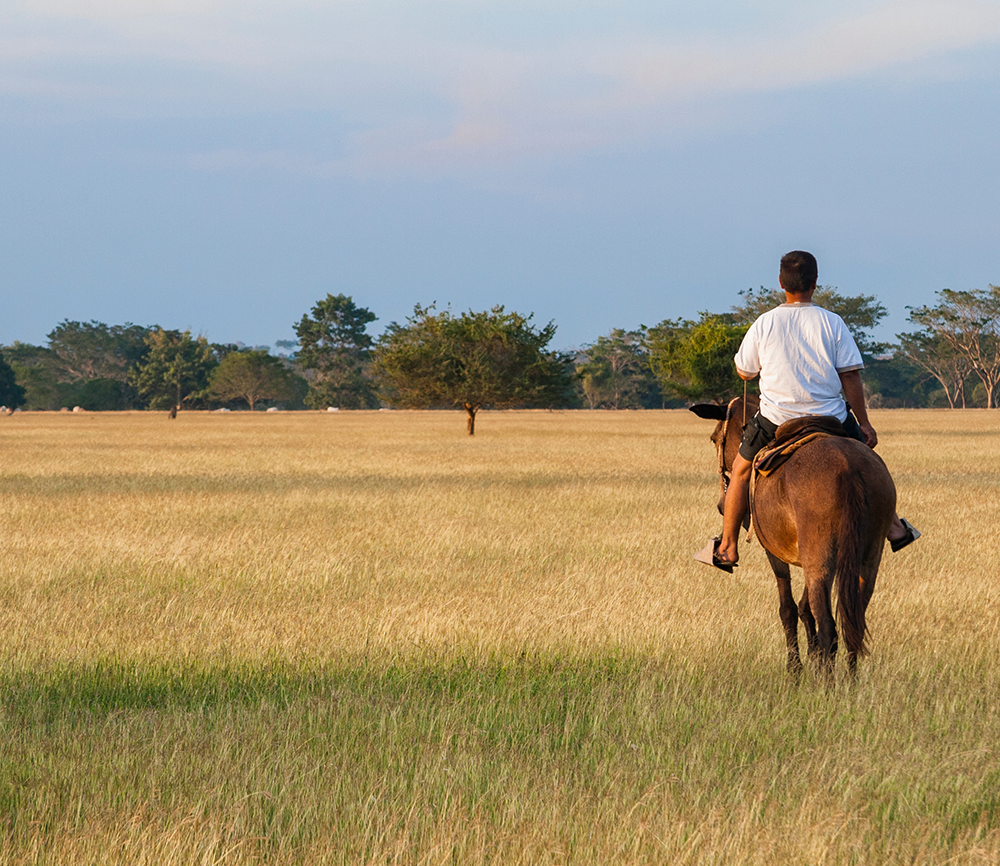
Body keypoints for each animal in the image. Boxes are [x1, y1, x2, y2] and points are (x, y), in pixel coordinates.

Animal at [690, 394, 897, 679]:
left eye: (713, 438)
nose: (722, 505)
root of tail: (847, 469)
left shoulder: (775, 553)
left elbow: (787, 608)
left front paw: (796, 669)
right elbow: (804, 607)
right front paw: (814, 661)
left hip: (820, 559)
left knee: (830, 627)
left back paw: (828, 685)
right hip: (866, 559)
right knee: (853, 620)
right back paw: (850, 683)